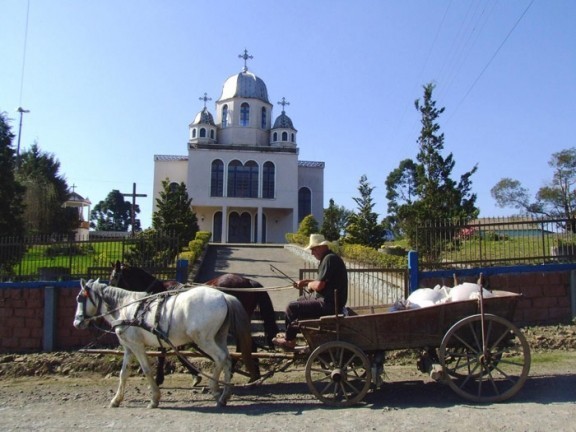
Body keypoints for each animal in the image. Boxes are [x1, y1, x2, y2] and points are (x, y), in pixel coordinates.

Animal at [73, 280, 258, 408]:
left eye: (80, 298)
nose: (77, 323)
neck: (127, 309)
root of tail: (224, 296)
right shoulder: (129, 347)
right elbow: (123, 373)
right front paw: (116, 400)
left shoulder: (137, 346)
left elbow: (147, 370)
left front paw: (154, 398)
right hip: (218, 337)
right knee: (227, 359)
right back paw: (225, 394)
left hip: (203, 339)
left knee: (220, 358)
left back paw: (215, 389)